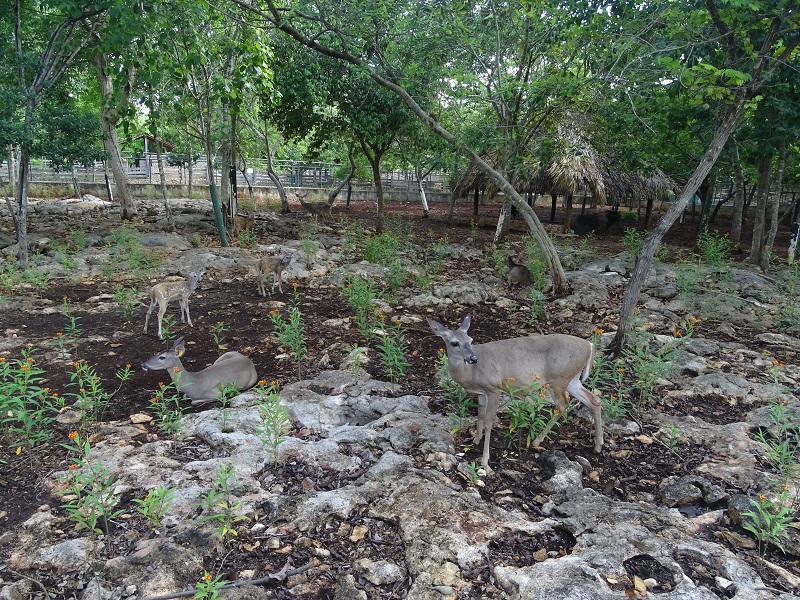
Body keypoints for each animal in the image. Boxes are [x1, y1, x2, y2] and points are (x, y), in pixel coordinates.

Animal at [427, 314, 603, 471]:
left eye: (470, 340)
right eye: (454, 343)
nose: (473, 358)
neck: (470, 373)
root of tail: (590, 345)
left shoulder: (494, 389)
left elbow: (489, 422)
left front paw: (484, 460)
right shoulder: (482, 393)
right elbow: (480, 415)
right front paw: (475, 440)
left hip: (559, 379)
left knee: (563, 405)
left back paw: (536, 441)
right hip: (572, 379)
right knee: (594, 400)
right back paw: (598, 446)